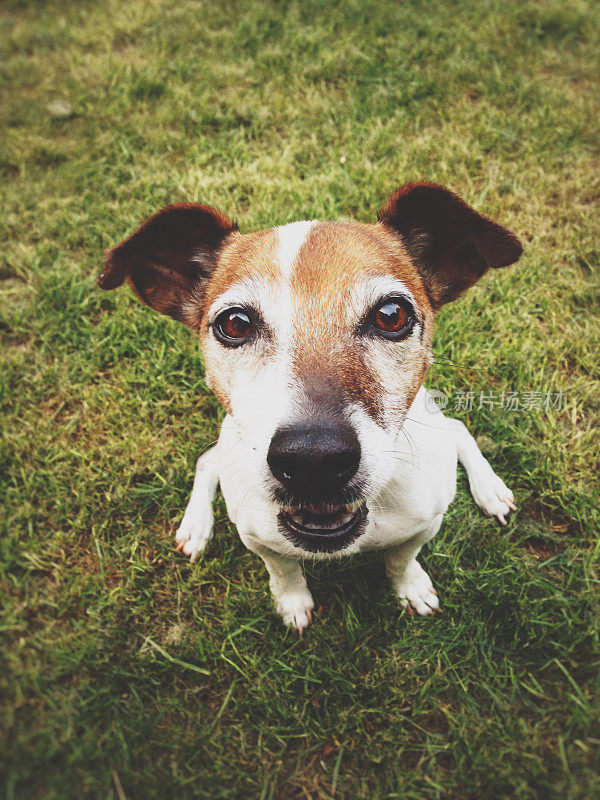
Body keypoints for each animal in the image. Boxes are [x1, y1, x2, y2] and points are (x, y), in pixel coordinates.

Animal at [97, 181, 520, 632]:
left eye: (392, 315)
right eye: (235, 323)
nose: (313, 460)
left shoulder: (423, 524)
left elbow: (401, 560)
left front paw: (411, 587)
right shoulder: (259, 538)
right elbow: (283, 569)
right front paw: (292, 601)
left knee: (457, 428)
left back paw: (490, 489)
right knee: (208, 460)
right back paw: (196, 525)